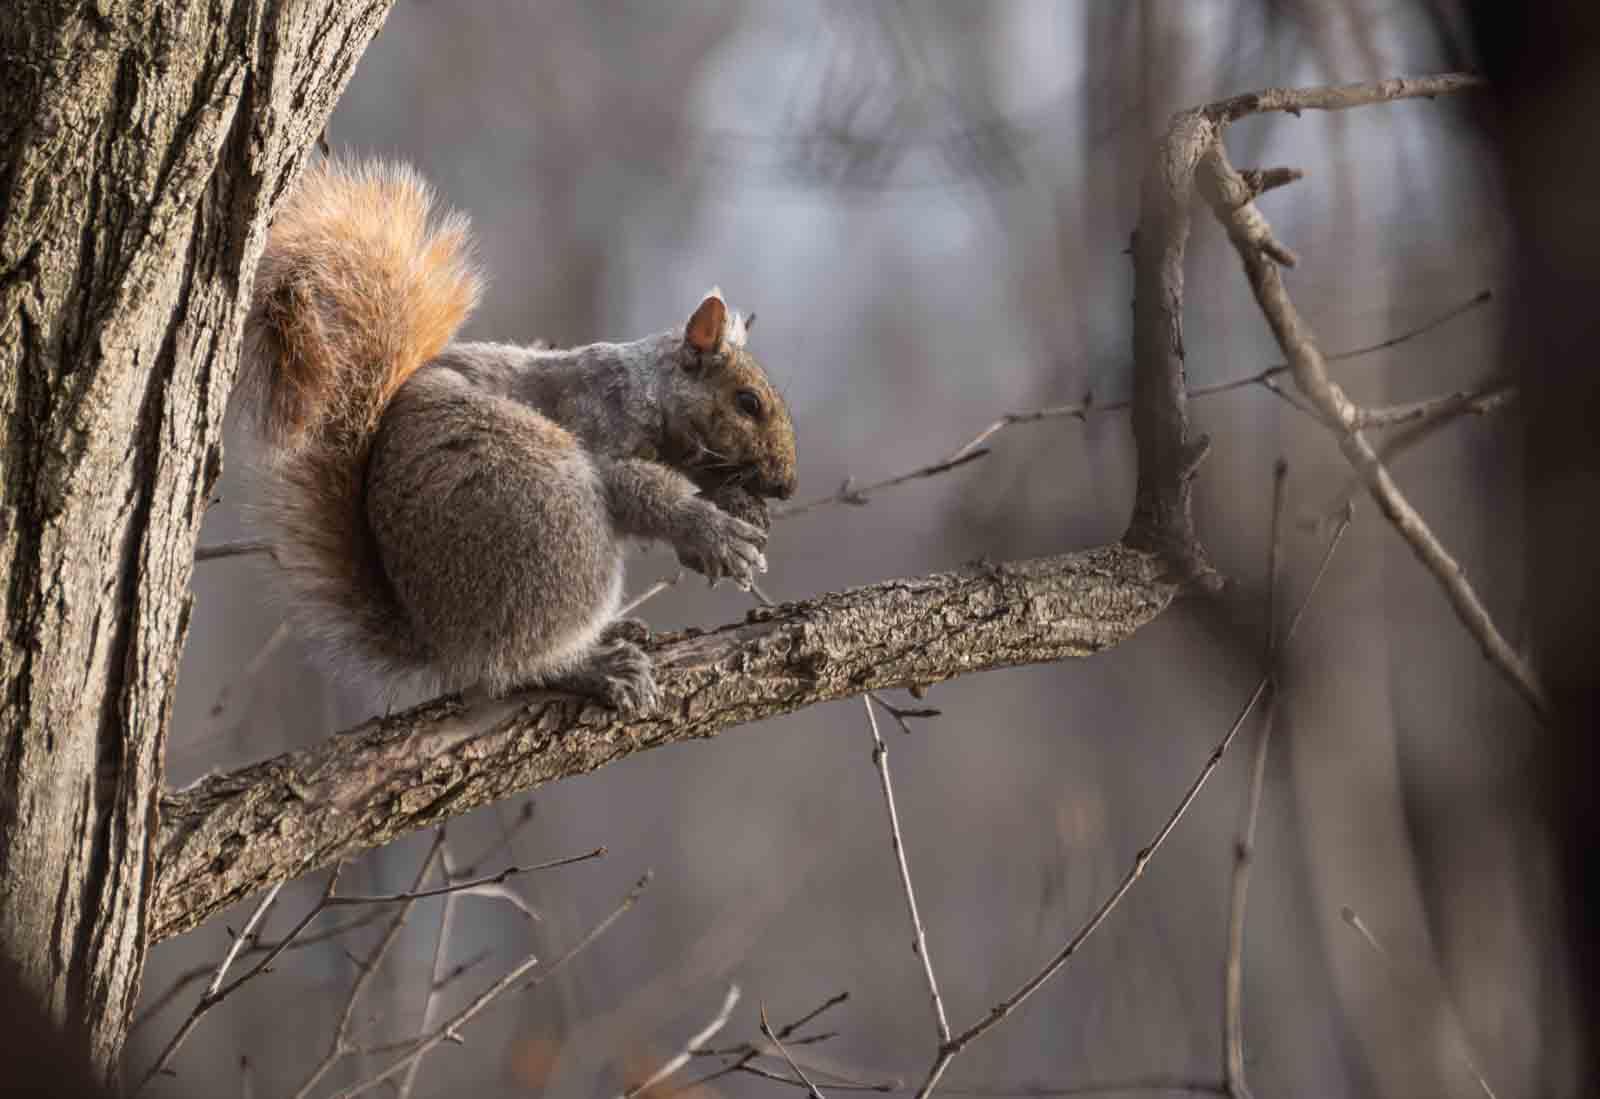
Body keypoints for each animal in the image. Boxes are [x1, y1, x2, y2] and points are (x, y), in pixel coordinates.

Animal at [240, 161, 796, 713]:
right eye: (748, 403)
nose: (787, 486)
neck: (648, 388)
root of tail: (443, 642)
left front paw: (732, 515)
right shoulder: (599, 424)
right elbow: (641, 492)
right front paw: (715, 533)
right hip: (553, 533)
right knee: (516, 664)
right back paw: (594, 666)